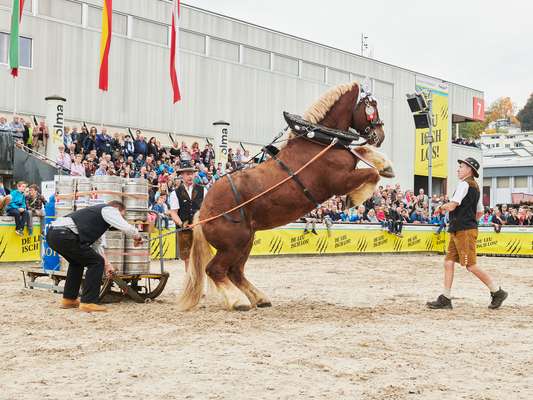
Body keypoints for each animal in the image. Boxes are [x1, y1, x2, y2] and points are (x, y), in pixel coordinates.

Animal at [179, 81, 394, 310]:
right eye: (372, 105)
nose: (380, 134)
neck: (318, 142)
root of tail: (203, 212)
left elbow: (362, 152)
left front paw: (386, 166)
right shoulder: (339, 180)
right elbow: (371, 173)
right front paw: (354, 198)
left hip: (246, 240)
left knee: (235, 271)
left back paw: (260, 298)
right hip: (233, 243)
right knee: (215, 270)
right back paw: (238, 301)